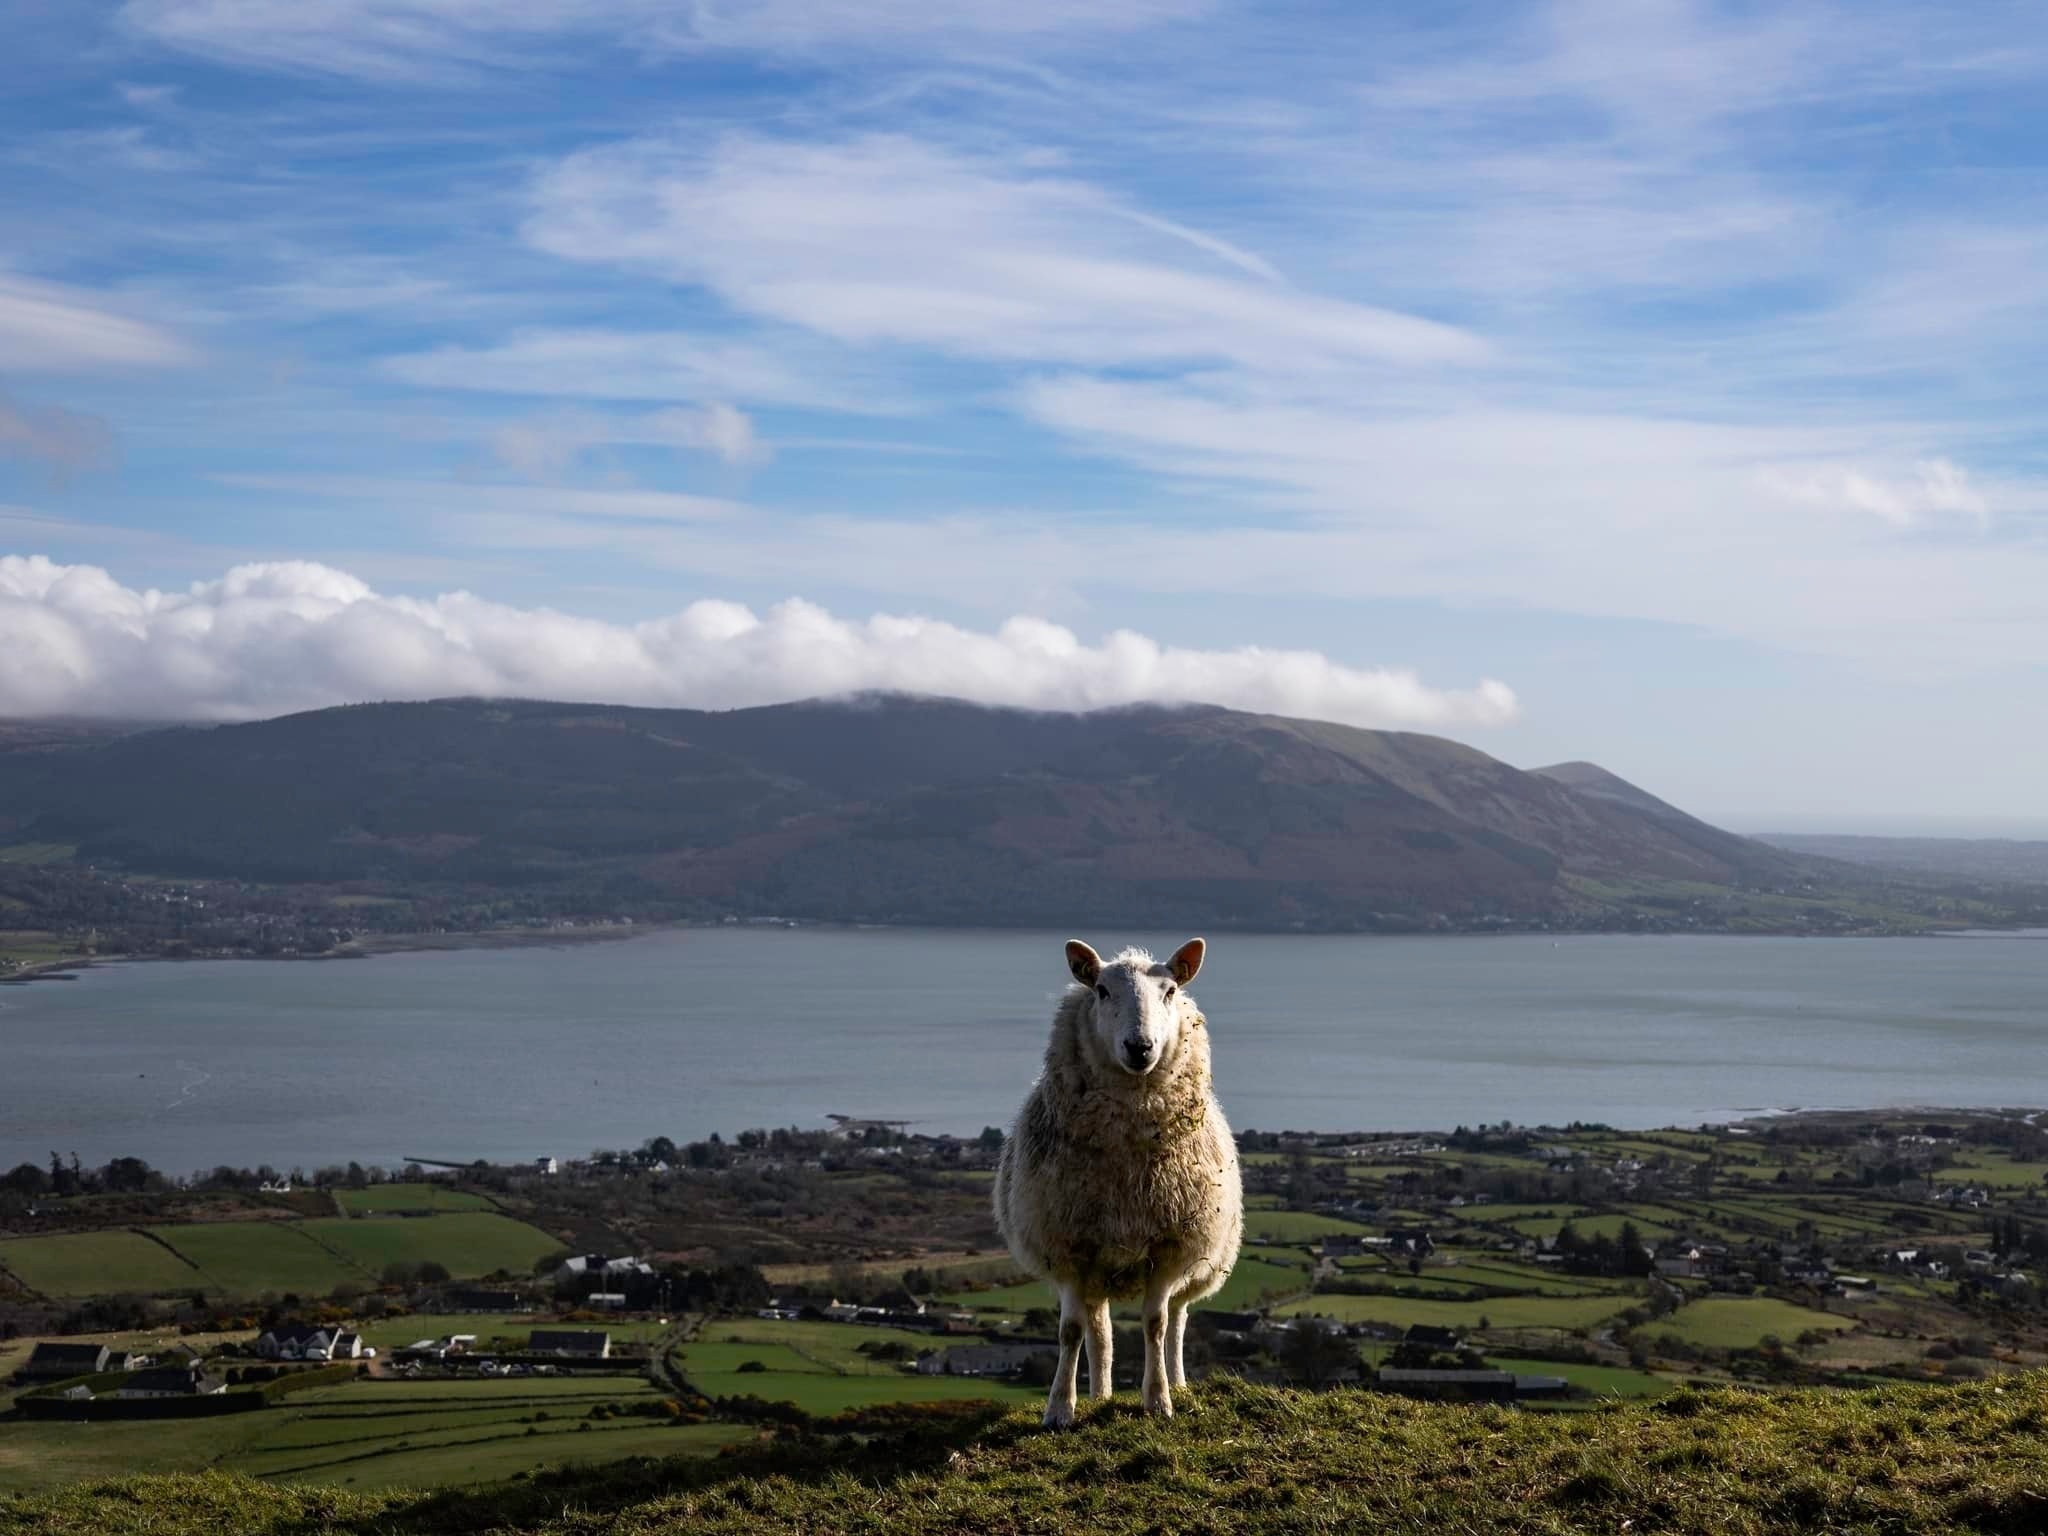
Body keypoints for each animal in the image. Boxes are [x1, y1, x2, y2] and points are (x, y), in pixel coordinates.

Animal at [993, 936, 1243, 1426]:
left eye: (1170, 991)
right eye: (1102, 991)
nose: (1140, 1046)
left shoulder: (1168, 1247)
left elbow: (1156, 1325)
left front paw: (1159, 1400)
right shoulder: (1070, 1247)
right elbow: (1071, 1331)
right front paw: (1060, 1408)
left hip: (1195, 1263)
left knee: (1178, 1320)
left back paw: (1178, 1384)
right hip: (1097, 1269)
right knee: (1100, 1333)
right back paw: (1100, 1395)